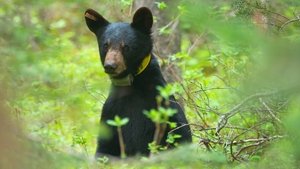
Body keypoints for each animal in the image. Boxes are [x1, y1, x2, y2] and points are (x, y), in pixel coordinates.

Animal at [84, 6, 192, 157]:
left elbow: (179, 134)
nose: (110, 66)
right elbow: (105, 148)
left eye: (126, 46)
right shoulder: (111, 111)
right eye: (105, 45)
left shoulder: (162, 106)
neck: (131, 85)